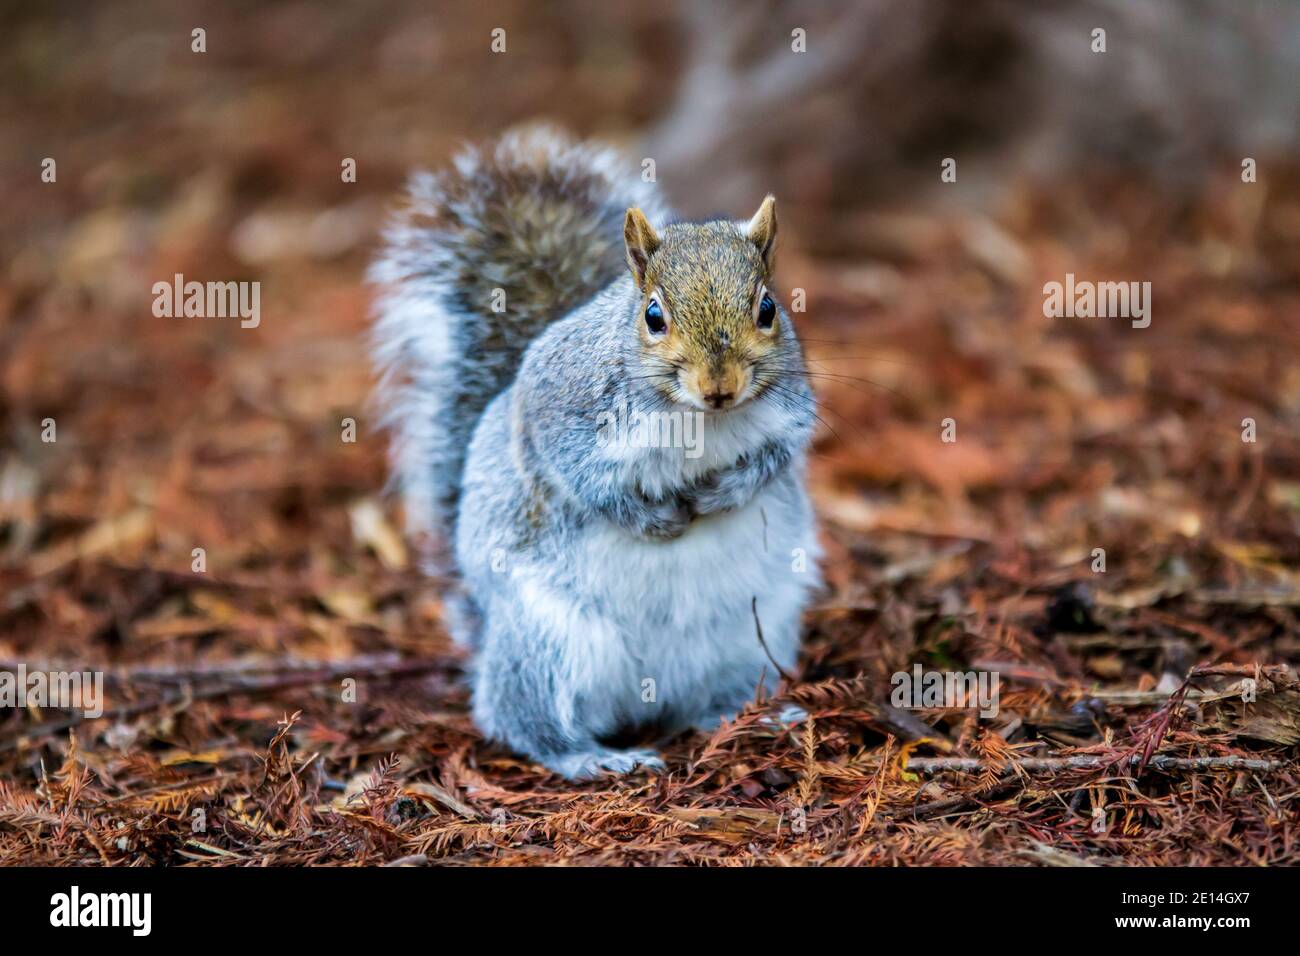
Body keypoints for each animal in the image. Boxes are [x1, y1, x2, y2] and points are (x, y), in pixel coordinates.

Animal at [370, 127, 822, 779]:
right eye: (653, 315)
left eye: (767, 309)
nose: (720, 387)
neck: (699, 420)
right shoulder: (558, 414)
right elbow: (583, 481)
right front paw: (652, 520)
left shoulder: (791, 413)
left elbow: (773, 460)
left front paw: (722, 493)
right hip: (550, 641)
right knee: (521, 719)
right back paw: (589, 757)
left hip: (753, 634)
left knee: (710, 699)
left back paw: (752, 716)